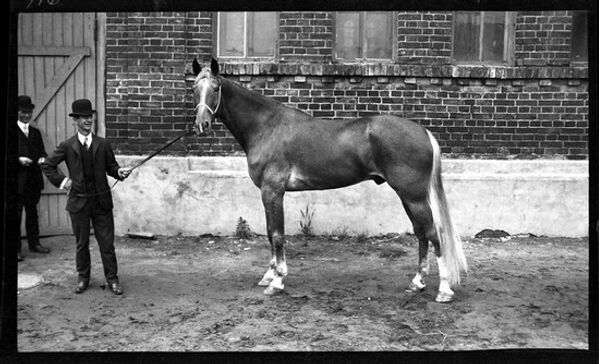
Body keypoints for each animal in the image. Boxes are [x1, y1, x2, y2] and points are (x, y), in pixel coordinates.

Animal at [192, 57, 468, 302]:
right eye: (195, 88)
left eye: (215, 88)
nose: (202, 124)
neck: (267, 127)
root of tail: (423, 132)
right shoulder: (268, 193)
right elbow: (271, 233)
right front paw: (268, 275)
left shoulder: (273, 191)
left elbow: (277, 235)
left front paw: (277, 282)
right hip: (407, 196)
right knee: (421, 234)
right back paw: (417, 283)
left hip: (413, 196)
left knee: (433, 234)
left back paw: (444, 290)